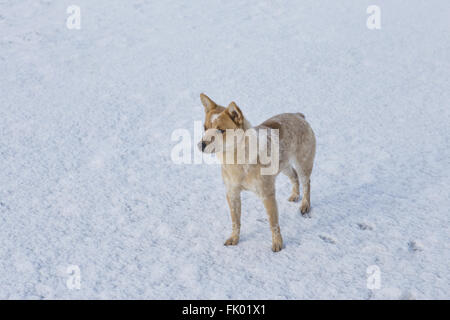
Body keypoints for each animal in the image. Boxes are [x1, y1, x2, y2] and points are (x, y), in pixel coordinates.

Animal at [197, 94, 316, 251]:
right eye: (205, 128)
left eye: (221, 130)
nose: (201, 145)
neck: (237, 161)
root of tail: (298, 115)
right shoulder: (232, 193)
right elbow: (235, 221)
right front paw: (234, 239)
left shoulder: (267, 194)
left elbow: (273, 222)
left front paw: (277, 244)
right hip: (283, 165)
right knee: (294, 176)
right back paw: (295, 195)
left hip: (303, 164)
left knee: (306, 183)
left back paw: (305, 206)